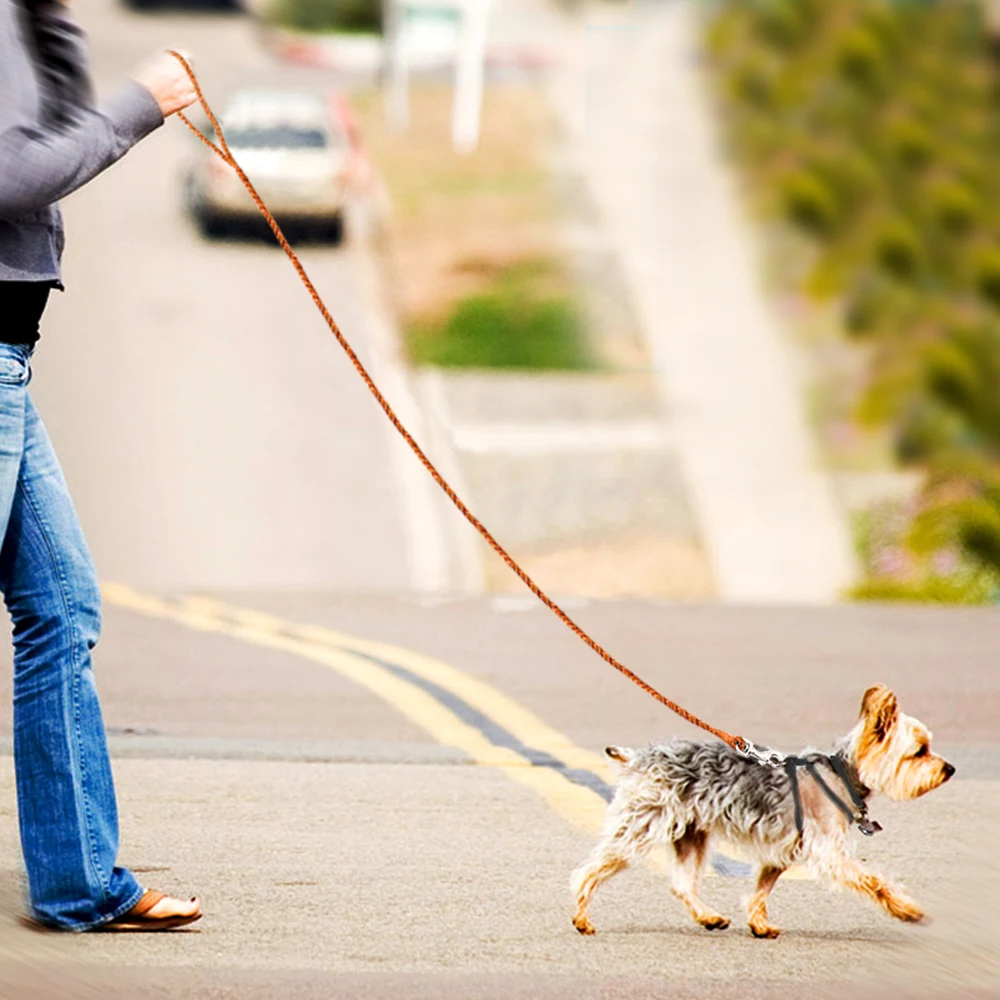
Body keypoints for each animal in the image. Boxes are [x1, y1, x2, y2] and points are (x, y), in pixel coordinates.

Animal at [572, 688, 952, 936]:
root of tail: (641, 756)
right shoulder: (829, 853)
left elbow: (761, 889)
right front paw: (907, 909)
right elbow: (875, 882)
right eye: (920, 751)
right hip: (642, 826)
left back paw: (708, 917)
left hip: (692, 834)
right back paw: (581, 918)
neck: (843, 772)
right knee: (589, 870)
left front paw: (759, 924)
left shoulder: (781, 851)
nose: (950, 769)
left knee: (681, 884)